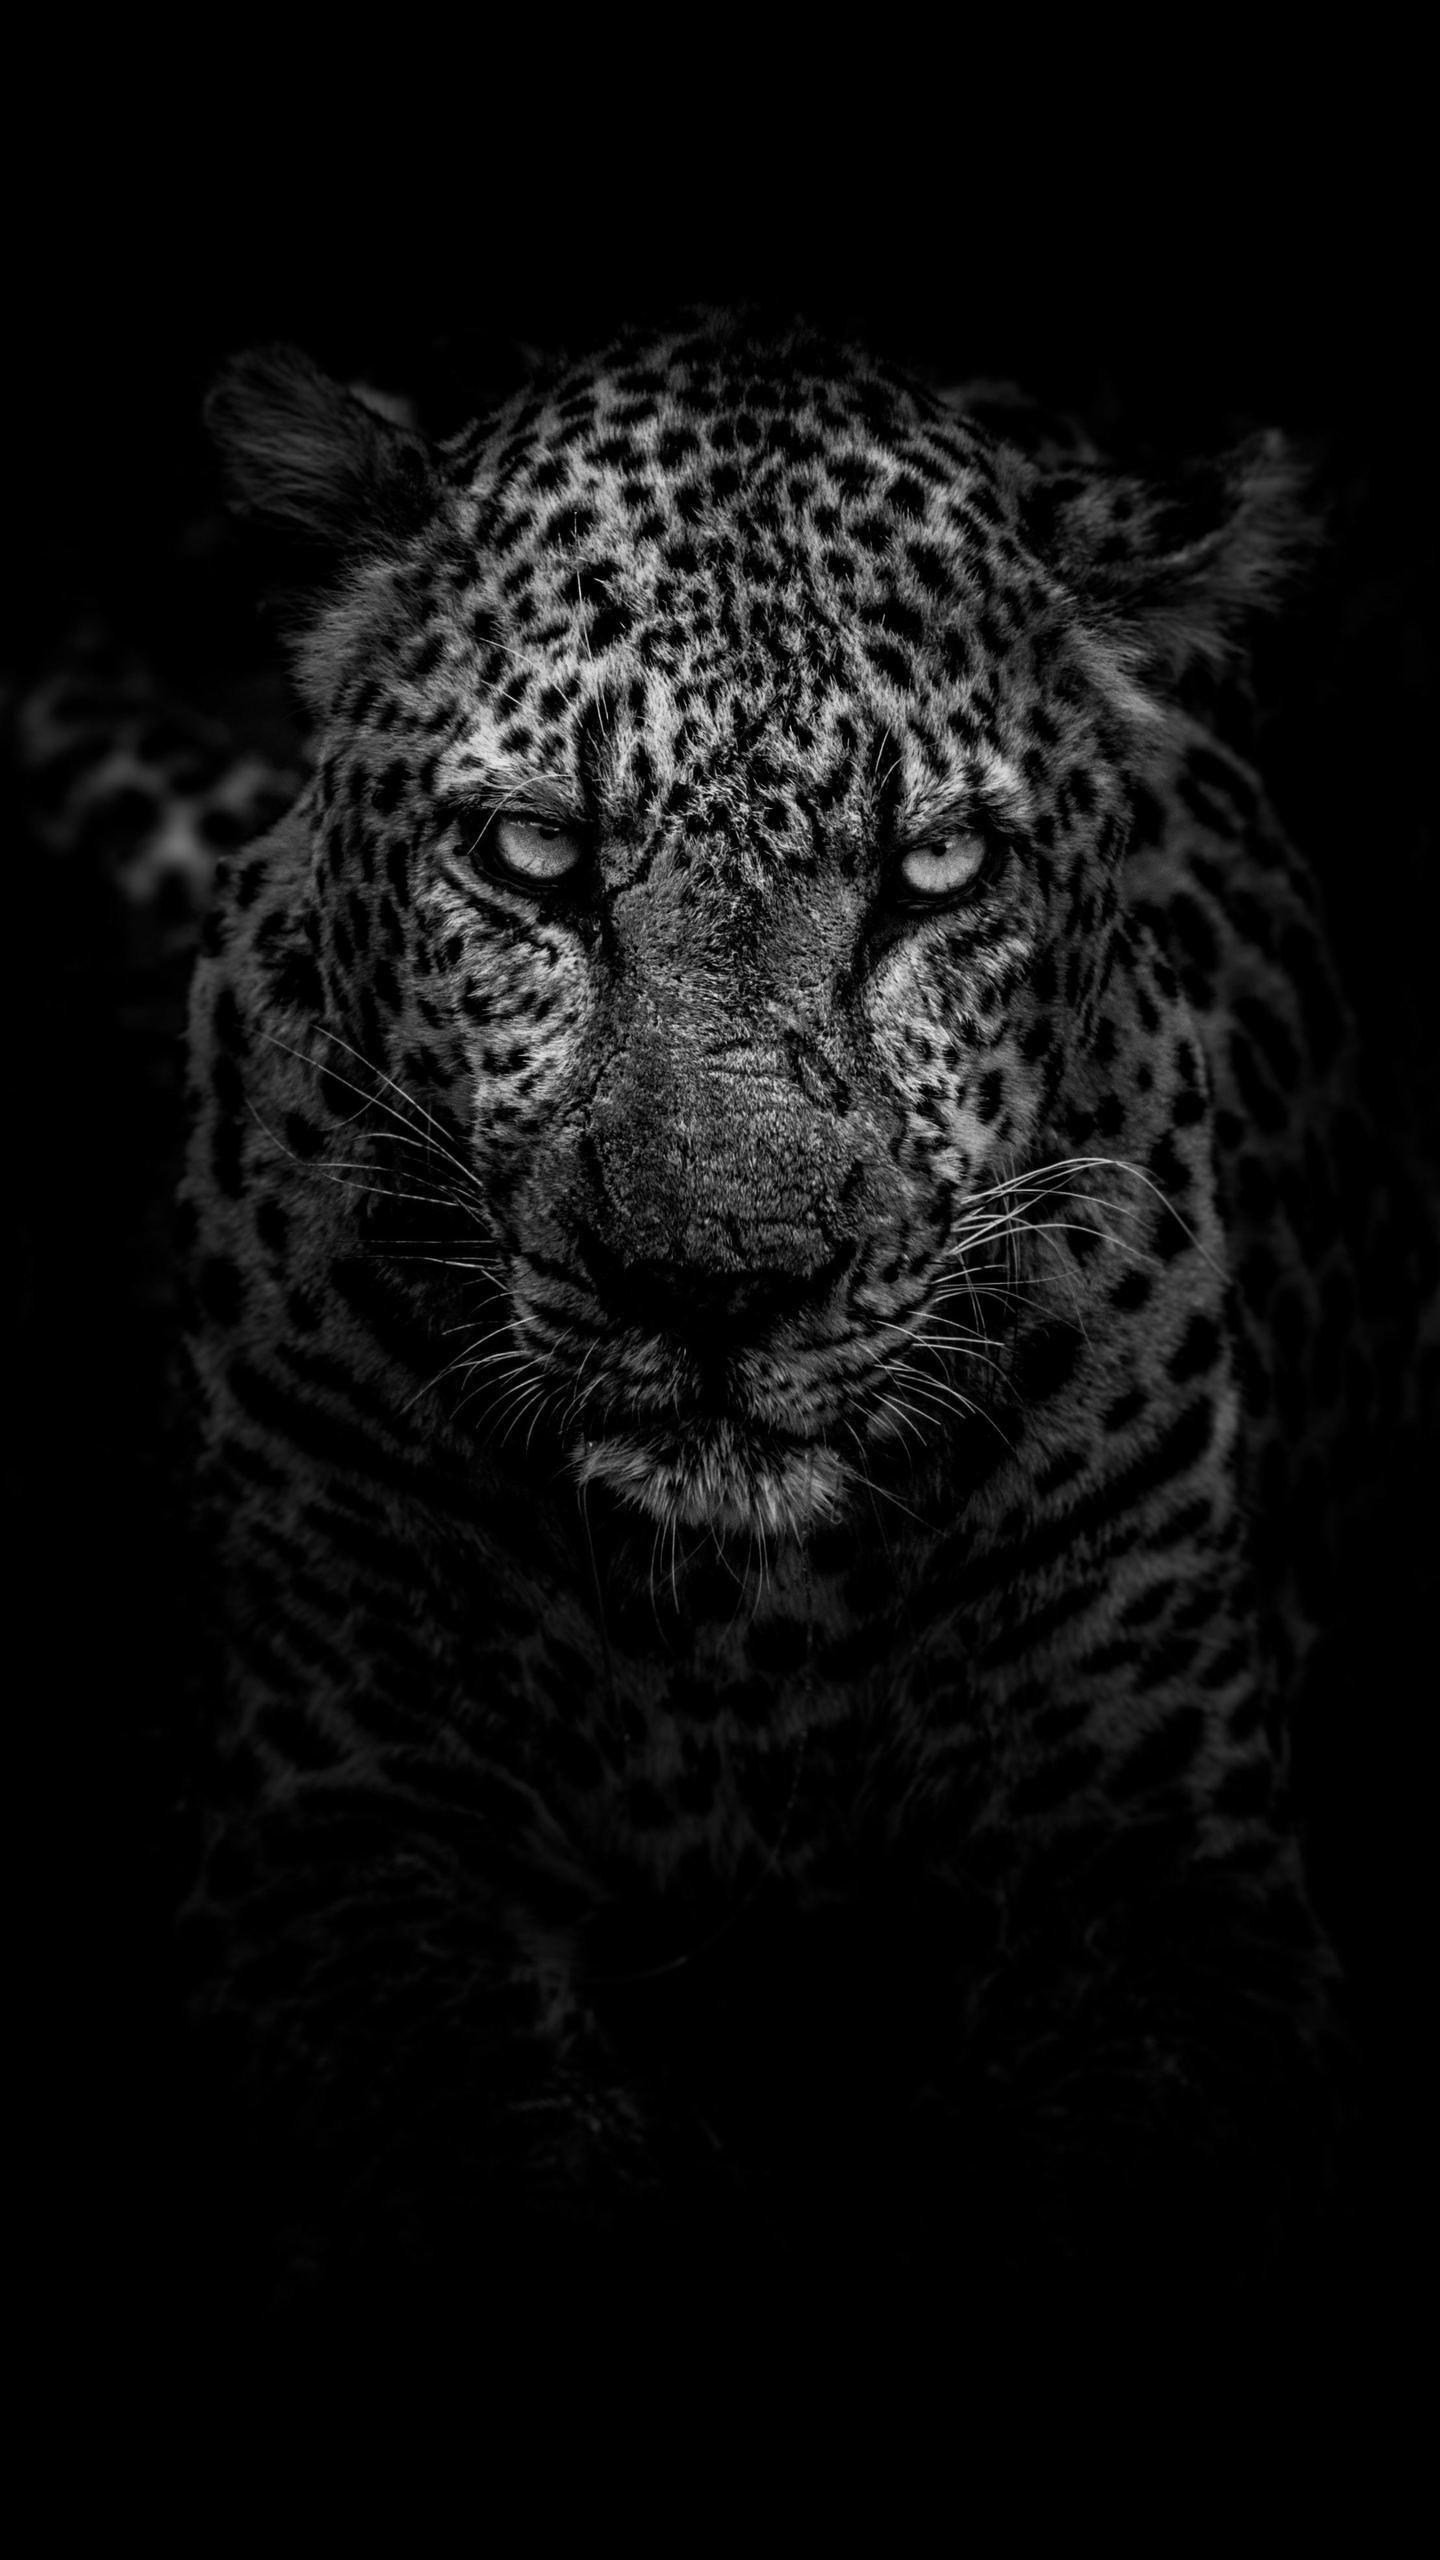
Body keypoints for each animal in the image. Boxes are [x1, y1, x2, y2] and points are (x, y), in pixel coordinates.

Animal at [136, 308, 1432, 2335]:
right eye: (531, 856)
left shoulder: (1163, 1869)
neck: (734, 1623)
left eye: (938, 875)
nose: (715, 1283)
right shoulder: (339, 1839)